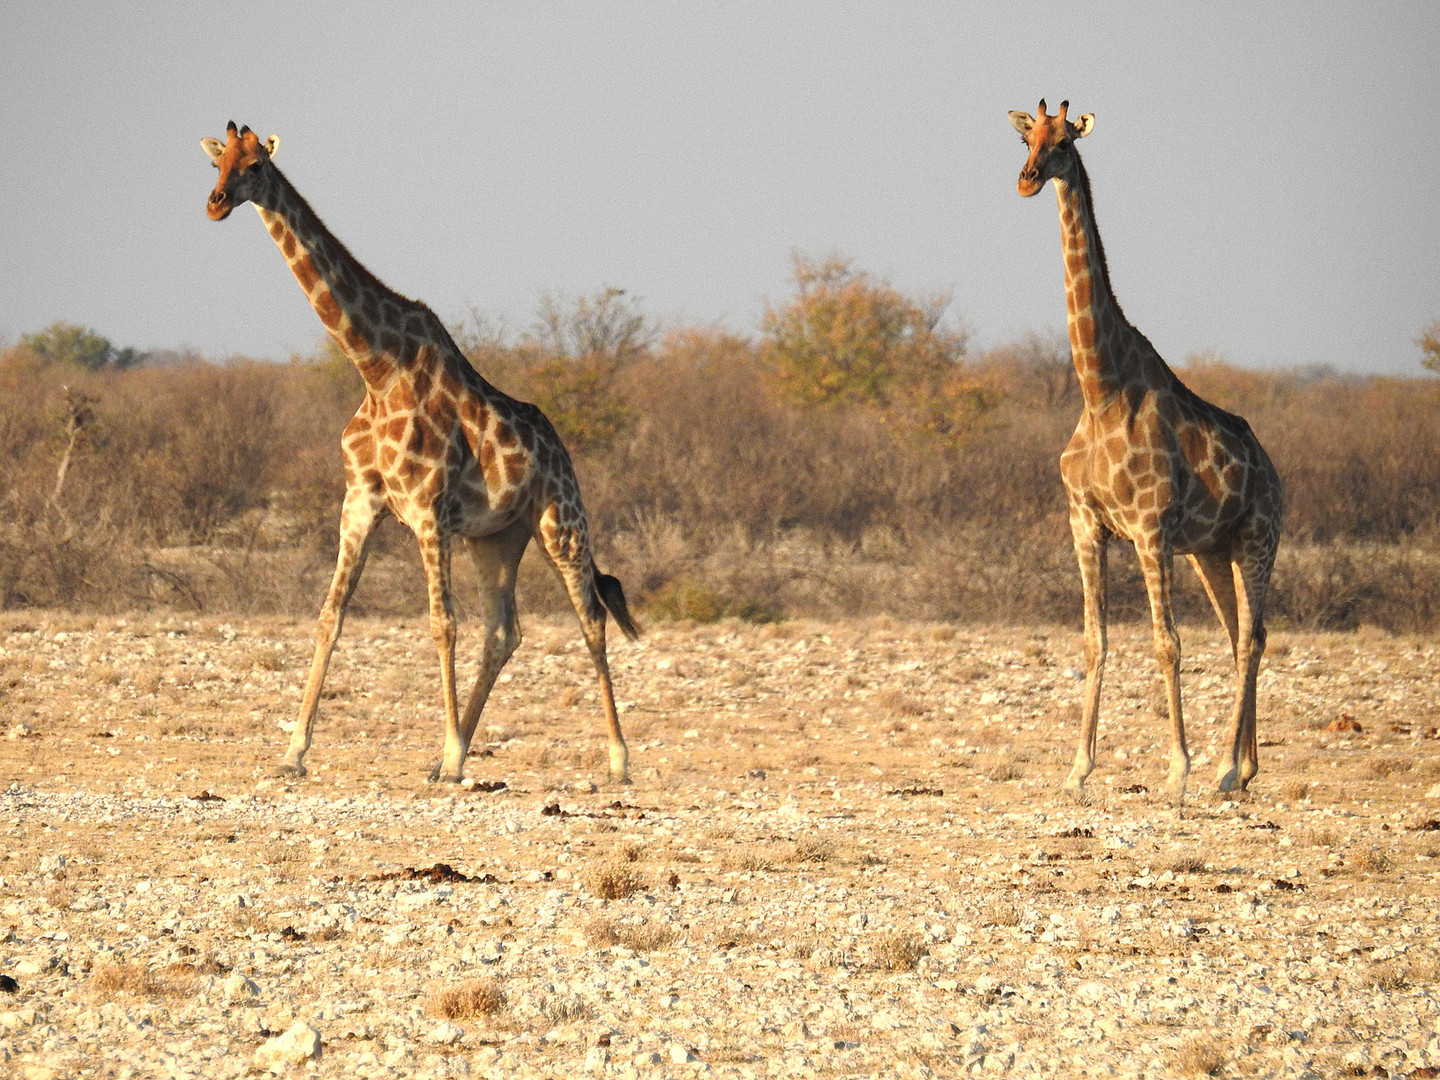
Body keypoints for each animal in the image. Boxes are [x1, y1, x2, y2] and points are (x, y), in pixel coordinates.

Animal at [200, 120, 639, 789]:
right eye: (216, 161)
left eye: (256, 166)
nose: (216, 203)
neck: (378, 368)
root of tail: (563, 453)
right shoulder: (360, 502)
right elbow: (330, 615)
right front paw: (294, 750)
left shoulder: (428, 509)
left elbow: (441, 624)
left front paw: (453, 753)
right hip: (496, 538)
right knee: (504, 631)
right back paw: (447, 757)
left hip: (560, 522)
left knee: (589, 616)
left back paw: (616, 760)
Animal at [1008, 101, 1290, 806]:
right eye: (1027, 139)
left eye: (1064, 141)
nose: (1027, 180)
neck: (1100, 388)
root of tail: (1275, 473)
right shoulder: (1086, 523)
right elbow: (1094, 640)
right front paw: (1078, 768)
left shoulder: (1149, 528)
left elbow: (1167, 643)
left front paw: (1177, 770)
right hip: (1213, 552)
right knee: (1242, 633)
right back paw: (1242, 769)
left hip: (1259, 536)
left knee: (1251, 638)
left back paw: (1224, 770)